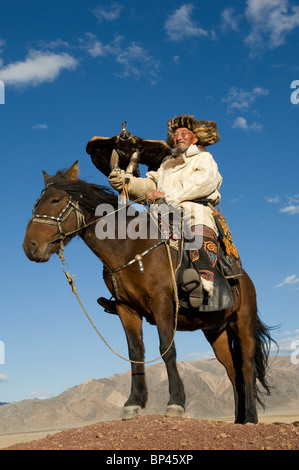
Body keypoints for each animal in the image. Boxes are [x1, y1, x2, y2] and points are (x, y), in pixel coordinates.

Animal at [23, 161, 276, 422]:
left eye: (55, 200)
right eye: (36, 203)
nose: (30, 246)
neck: (130, 248)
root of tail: (244, 279)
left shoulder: (161, 302)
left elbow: (167, 349)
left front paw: (176, 402)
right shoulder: (126, 308)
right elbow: (135, 352)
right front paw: (133, 402)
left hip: (243, 323)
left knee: (247, 367)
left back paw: (251, 418)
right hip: (217, 332)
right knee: (232, 370)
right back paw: (238, 419)